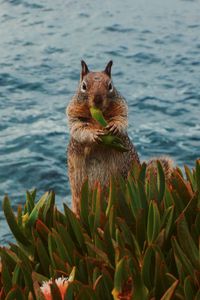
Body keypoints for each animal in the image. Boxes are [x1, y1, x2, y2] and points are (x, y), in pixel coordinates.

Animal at [66, 61, 173, 216]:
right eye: (84, 86)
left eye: (110, 85)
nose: (97, 100)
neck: (98, 116)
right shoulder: (74, 114)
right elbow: (79, 129)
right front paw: (94, 134)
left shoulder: (122, 108)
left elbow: (121, 119)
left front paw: (114, 127)